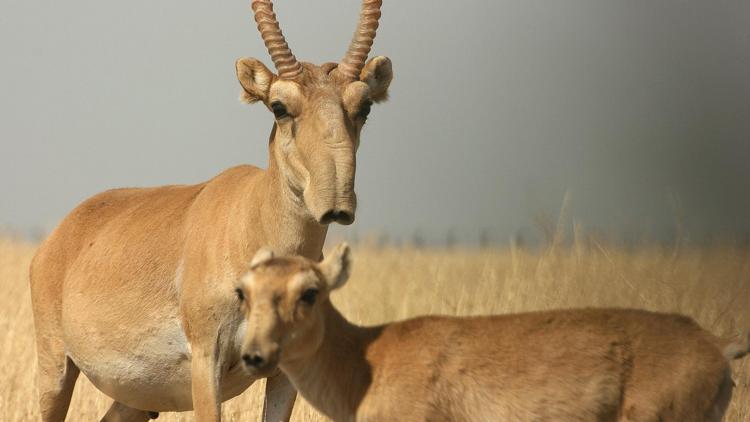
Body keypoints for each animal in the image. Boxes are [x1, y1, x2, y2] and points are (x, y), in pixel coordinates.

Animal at [29, 1, 394, 420]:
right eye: (279, 107)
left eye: (364, 106)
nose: (335, 202)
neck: (250, 218)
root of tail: (59, 236)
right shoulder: (207, 363)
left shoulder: (284, 373)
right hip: (56, 371)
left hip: (135, 400)